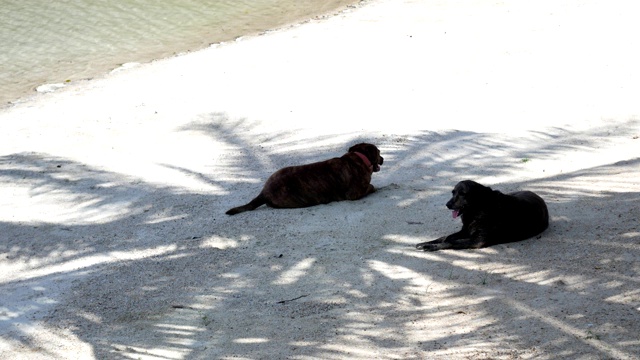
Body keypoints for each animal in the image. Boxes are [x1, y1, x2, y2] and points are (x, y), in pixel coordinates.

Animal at [226, 143, 382, 217]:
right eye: (379, 152)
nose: (383, 158)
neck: (358, 158)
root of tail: (264, 192)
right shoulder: (354, 194)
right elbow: (371, 186)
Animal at [416, 179, 552, 250]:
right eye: (453, 192)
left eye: (462, 194)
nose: (447, 204)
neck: (478, 207)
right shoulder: (465, 231)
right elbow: (445, 237)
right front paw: (427, 243)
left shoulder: (478, 240)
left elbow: (452, 242)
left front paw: (431, 247)